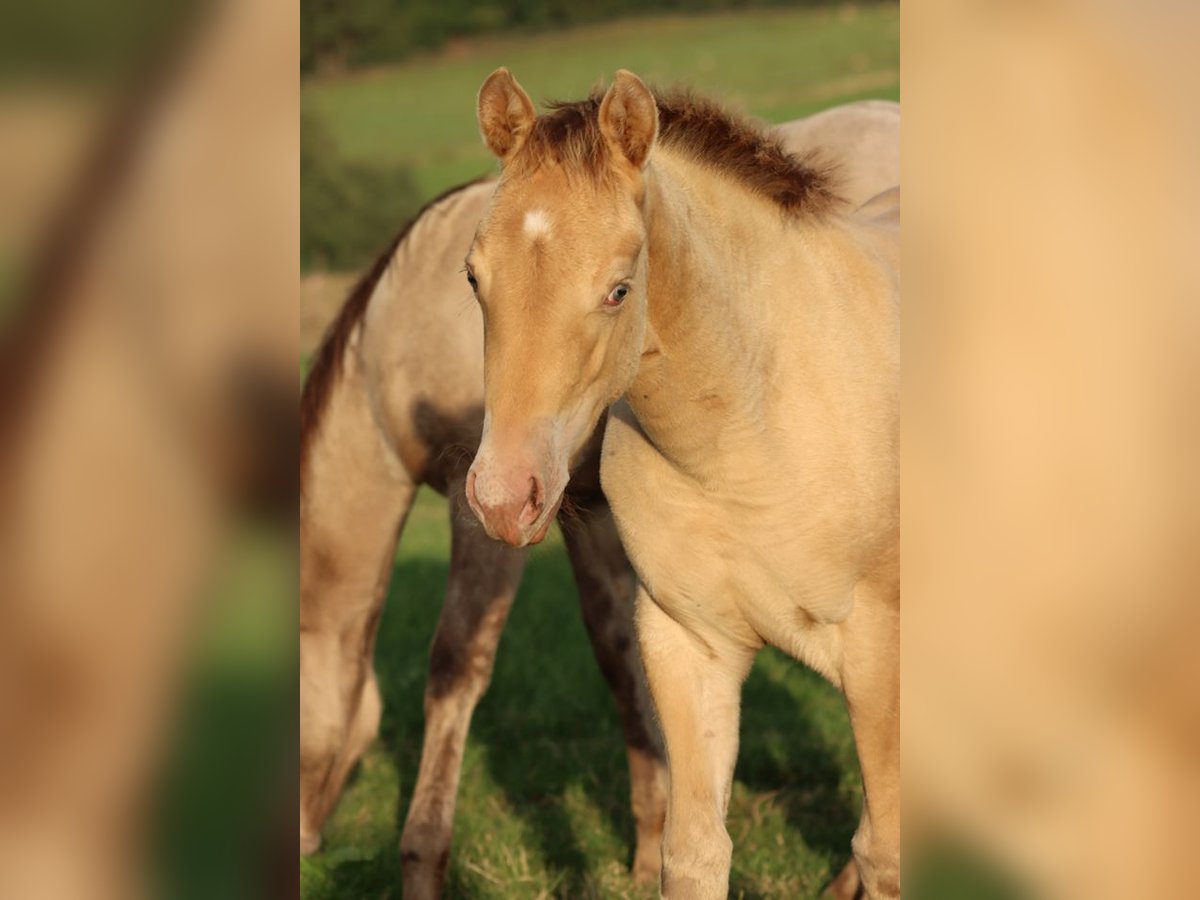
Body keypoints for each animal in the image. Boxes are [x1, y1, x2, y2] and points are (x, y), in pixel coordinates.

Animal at [300, 95, 897, 898]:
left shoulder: (475, 500)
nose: (303, 847)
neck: (393, 339)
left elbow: (457, 663)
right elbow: (617, 653)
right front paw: (646, 845)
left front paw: (422, 859)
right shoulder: (575, 509)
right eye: (473, 282)